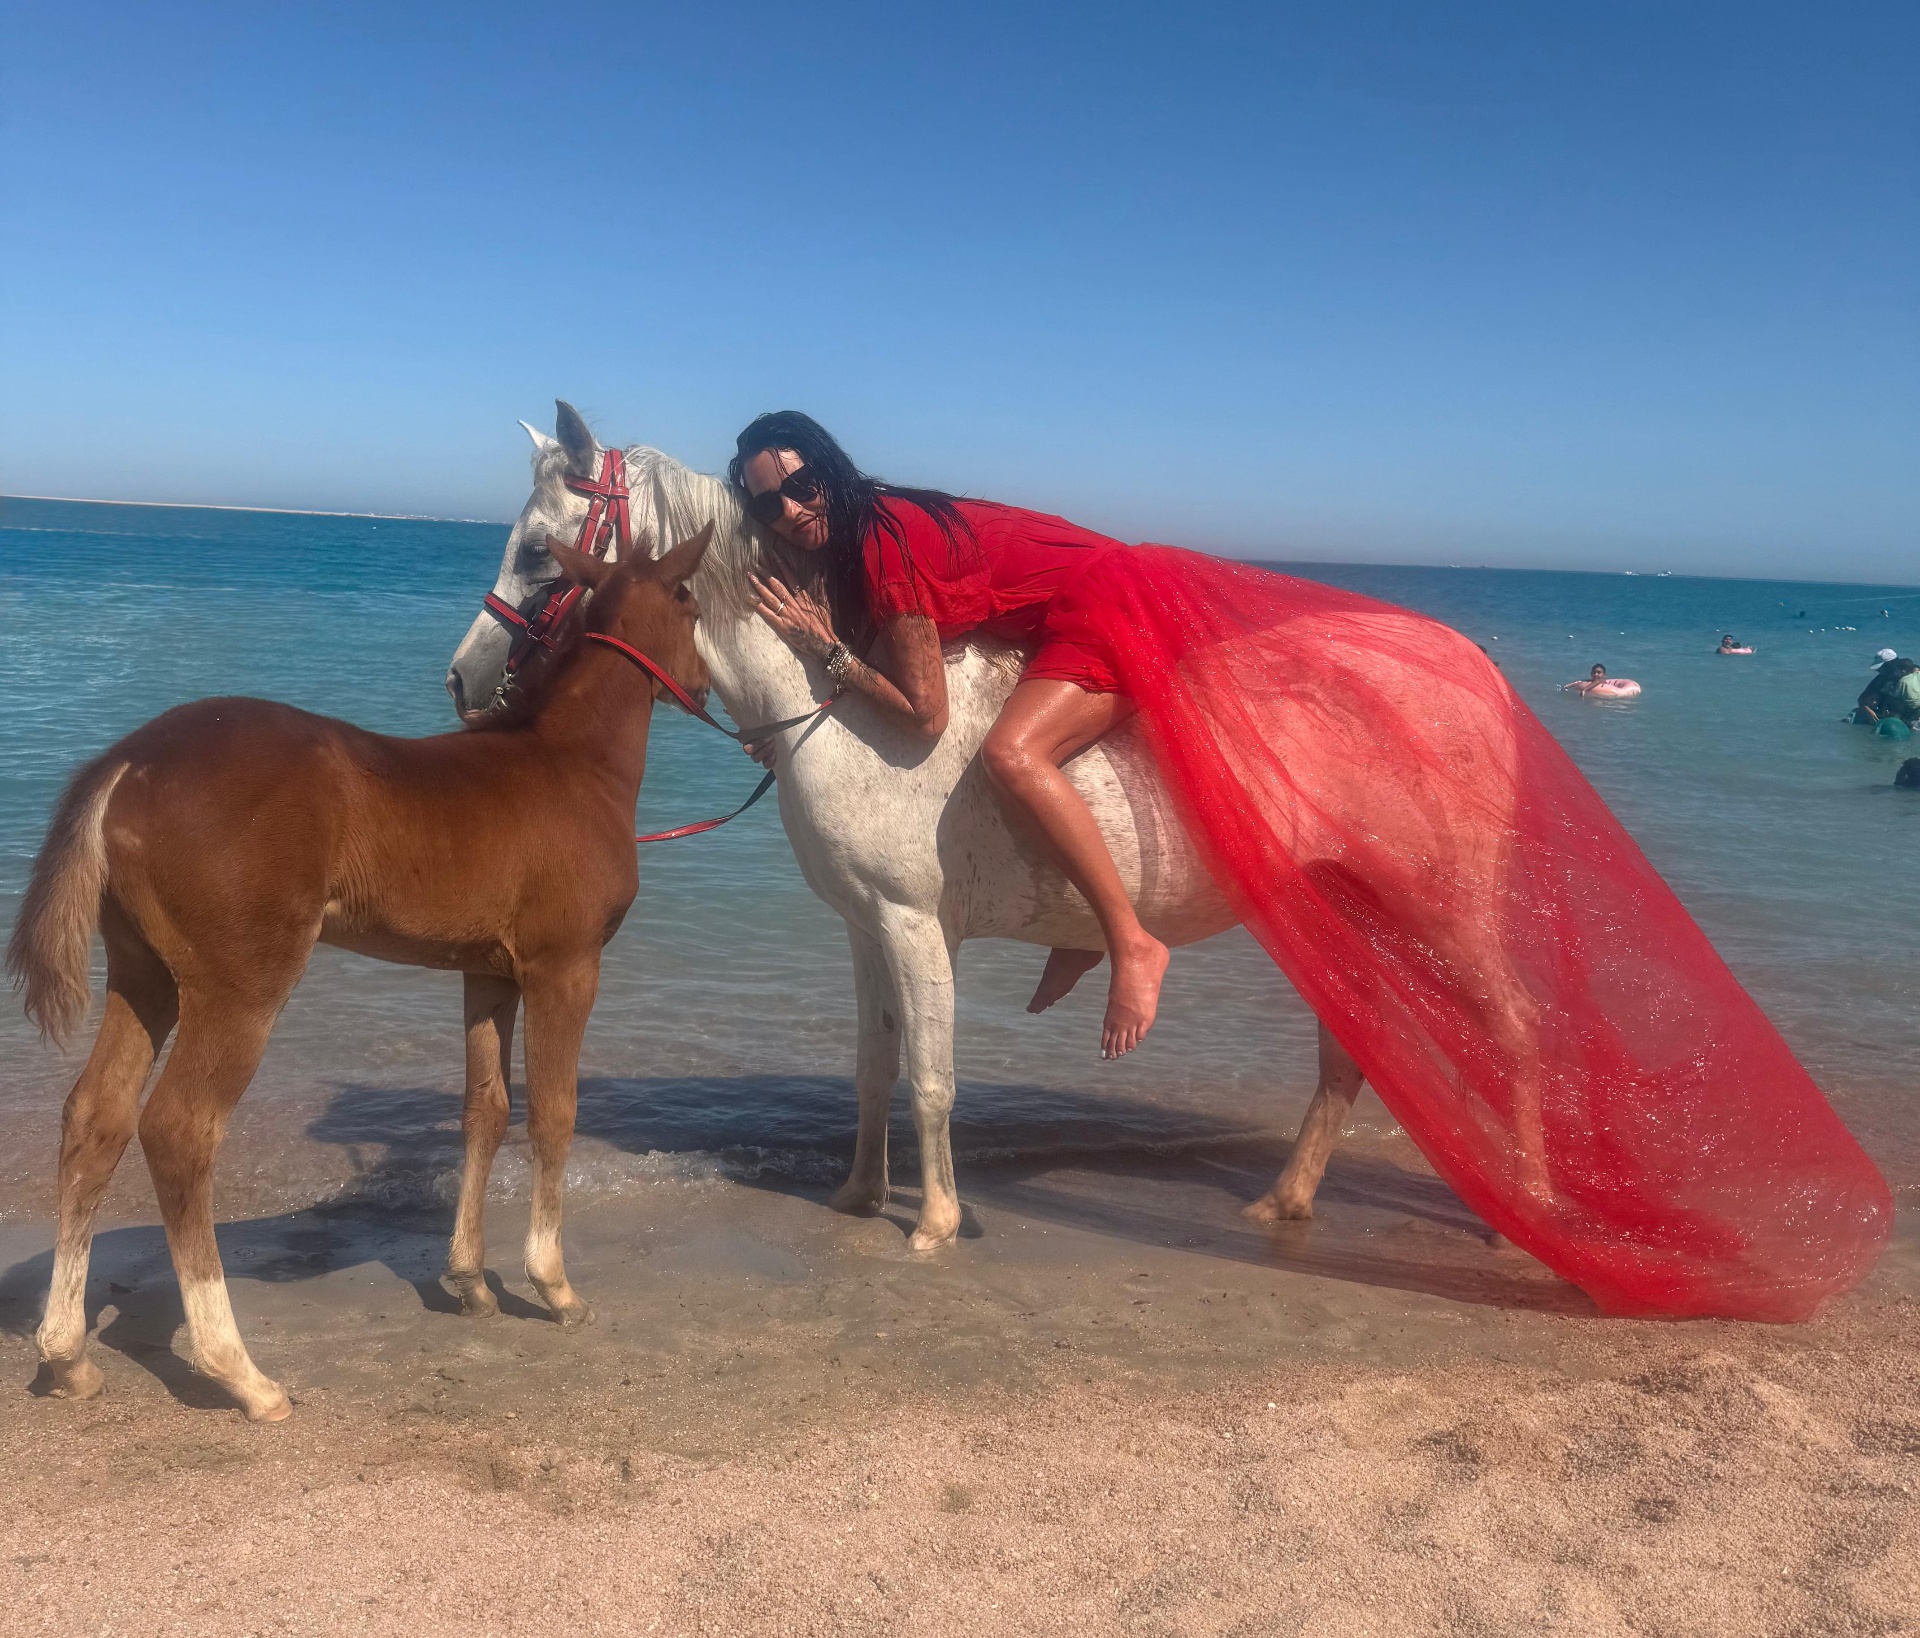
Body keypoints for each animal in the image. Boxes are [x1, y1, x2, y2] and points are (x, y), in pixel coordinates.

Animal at [8, 528, 712, 1420]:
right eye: (691, 600)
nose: (706, 685)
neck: (569, 763)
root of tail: (127, 763)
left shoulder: (488, 975)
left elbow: (485, 1111)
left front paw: (470, 1282)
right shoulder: (566, 968)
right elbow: (554, 1114)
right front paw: (553, 1287)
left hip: (146, 978)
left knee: (95, 1117)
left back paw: (67, 1354)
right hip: (240, 986)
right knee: (178, 1130)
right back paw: (242, 1372)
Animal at [446, 405, 1540, 1255]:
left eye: (538, 549)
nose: (462, 680)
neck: (844, 711)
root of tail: (1476, 672)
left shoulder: (915, 924)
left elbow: (931, 1076)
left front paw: (933, 1220)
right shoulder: (865, 930)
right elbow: (875, 1067)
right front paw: (858, 1194)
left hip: (1441, 915)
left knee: (1516, 1036)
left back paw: (1521, 1213)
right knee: (1347, 1056)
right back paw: (1288, 1200)